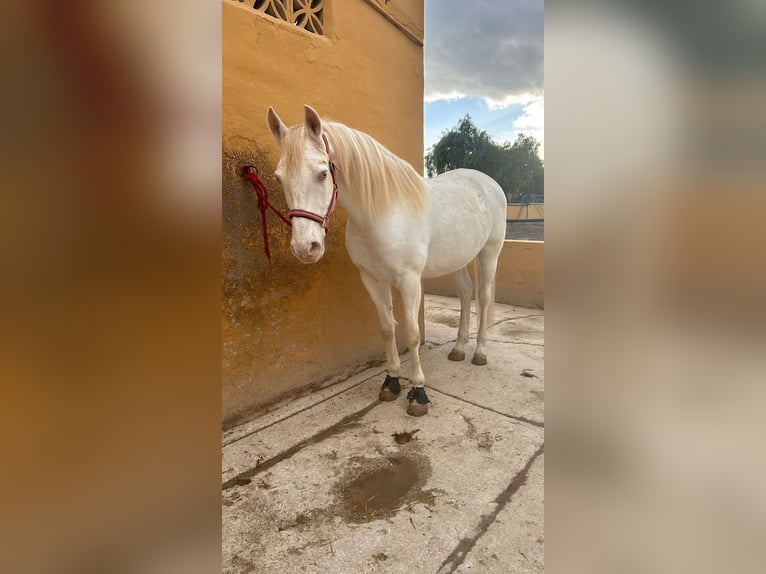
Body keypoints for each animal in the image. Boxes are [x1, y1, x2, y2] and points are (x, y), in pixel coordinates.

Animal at [266, 105, 507, 416]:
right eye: (278, 178)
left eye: (322, 173)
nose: (305, 247)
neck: (381, 212)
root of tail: (489, 183)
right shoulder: (372, 279)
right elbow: (386, 328)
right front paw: (391, 381)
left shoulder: (409, 281)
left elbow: (412, 333)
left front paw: (418, 393)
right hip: (457, 258)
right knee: (466, 294)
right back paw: (458, 348)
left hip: (489, 253)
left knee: (483, 296)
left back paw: (479, 352)